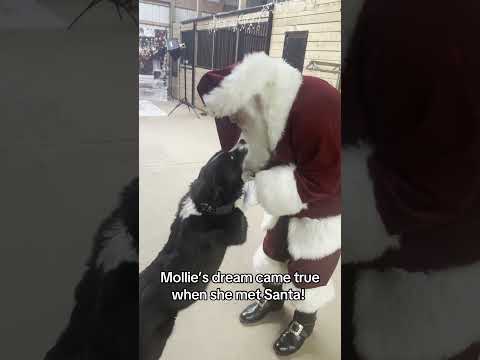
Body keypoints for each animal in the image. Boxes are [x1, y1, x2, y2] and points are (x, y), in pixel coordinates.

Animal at [139, 141, 249, 360]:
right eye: (232, 159)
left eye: (224, 152)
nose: (241, 141)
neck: (203, 204)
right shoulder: (238, 229)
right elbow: (241, 216)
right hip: (157, 339)